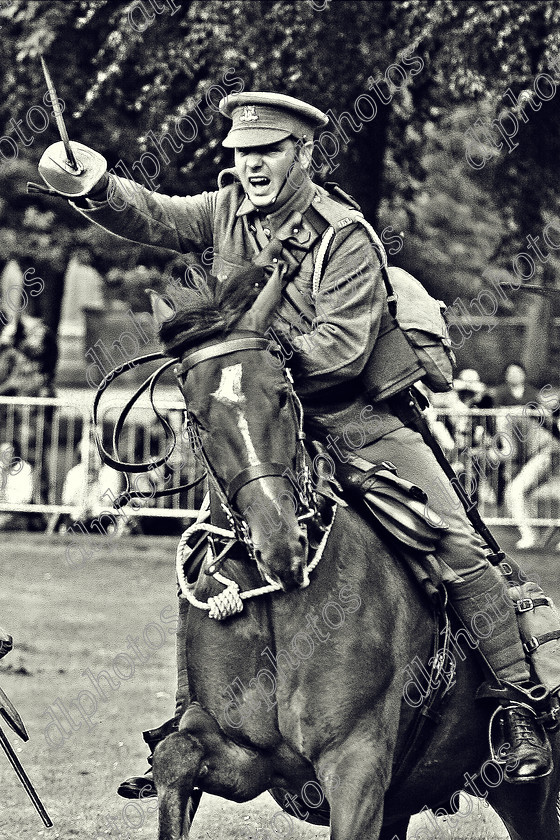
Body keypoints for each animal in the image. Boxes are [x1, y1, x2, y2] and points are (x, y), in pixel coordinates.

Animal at [149, 270, 560, 840]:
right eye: (195, 415)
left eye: (283, 395)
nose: (280, 542)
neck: (279, 603)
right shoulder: (250, 757)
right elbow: (175, 755)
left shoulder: (356, 766)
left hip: (528, 796)